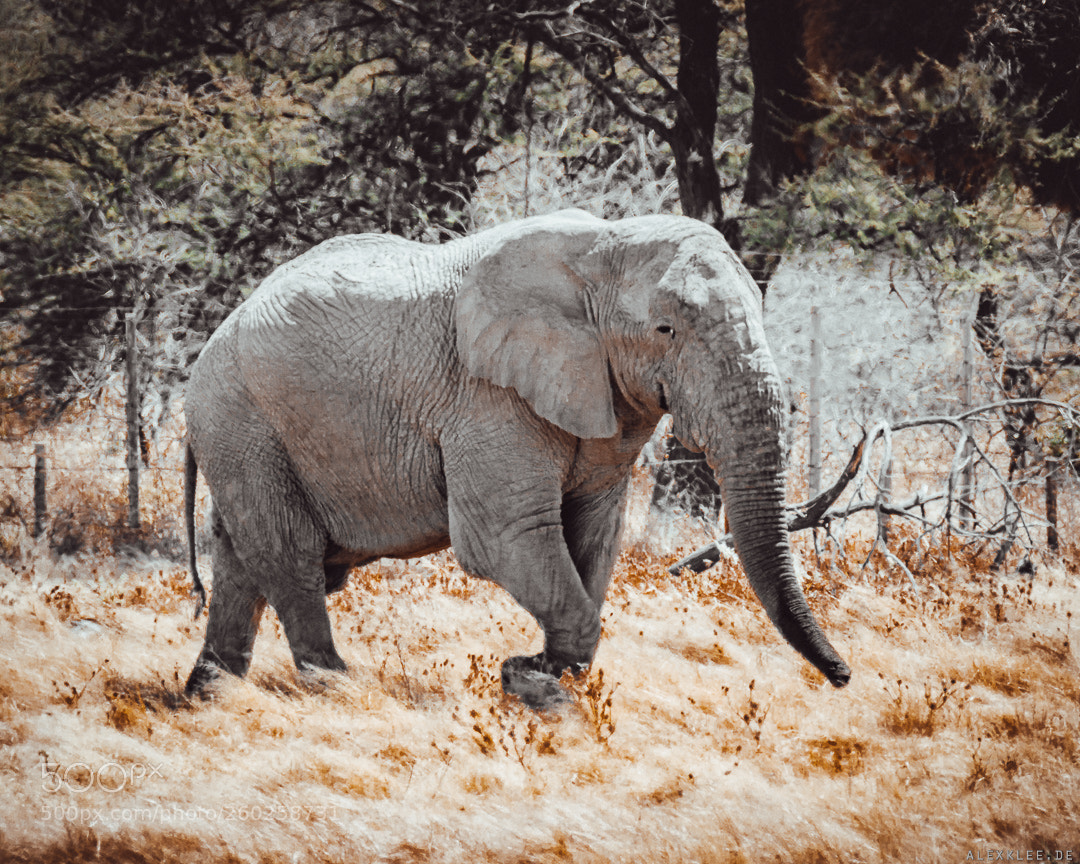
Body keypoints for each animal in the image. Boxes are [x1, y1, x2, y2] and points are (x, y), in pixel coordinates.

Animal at [182, 209, 850, 709]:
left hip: (245, 433)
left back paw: (207, 696)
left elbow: (593, 537)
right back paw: (339, 692)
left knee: (242, 558)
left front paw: (534, 675)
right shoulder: (486, 397)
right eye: (666, 330)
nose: (844, 676)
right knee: (289, 555)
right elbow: (508, 536)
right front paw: (530, 681)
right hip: (242, 422)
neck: (604, 247)